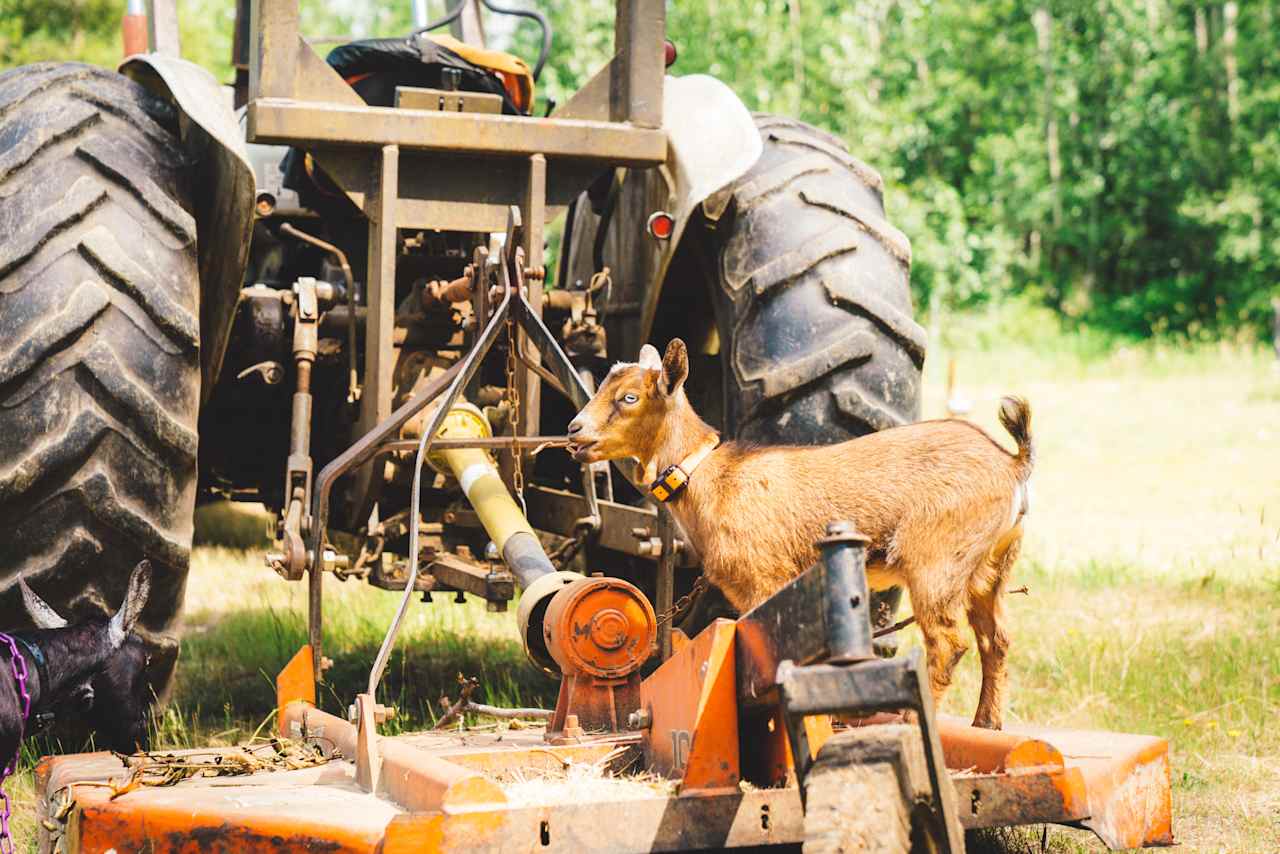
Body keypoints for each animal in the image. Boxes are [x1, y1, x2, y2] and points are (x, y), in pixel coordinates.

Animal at [570, 338, 1029, 727]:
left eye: (630, 397)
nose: (574, 430)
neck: (710, 478)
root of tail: (1014, 465)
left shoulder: (764, 578)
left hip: (936, 561)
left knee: (949, 643)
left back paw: (916, 720)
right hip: (989, 568)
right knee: (996, 639)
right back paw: (986, 724)